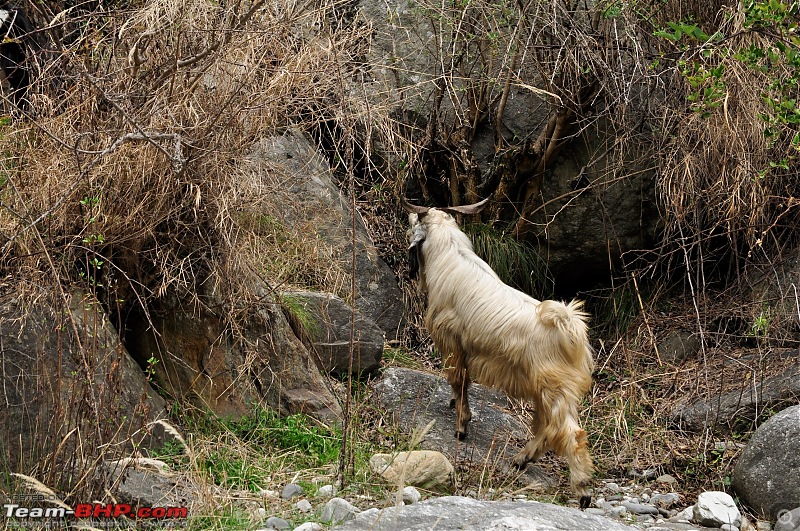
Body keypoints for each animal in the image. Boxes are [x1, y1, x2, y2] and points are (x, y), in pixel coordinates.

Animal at [404, 197, 596, 510]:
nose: (407, 217)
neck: (449, 258)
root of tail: (569, 325)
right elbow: (462, 384)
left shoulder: (453, 344)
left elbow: (458, 380)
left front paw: (462, 425)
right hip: (550, 392)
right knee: (548, 429)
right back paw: (521, 459)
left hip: (554, 388)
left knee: (570, 433)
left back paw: (582, 491)